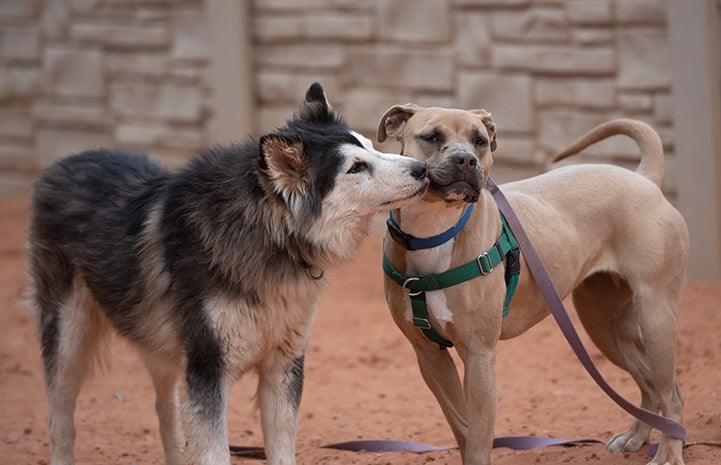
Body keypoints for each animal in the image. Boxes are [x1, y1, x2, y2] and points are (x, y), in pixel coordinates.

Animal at [29, 83, 428, 464]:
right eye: (356, 167)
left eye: (371, 147)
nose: (421, 169)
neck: (269, 235)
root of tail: (64, 164)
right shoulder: (208, 369)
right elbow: (214, 451)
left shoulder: (282, 366)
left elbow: (281, 450)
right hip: (69, 337)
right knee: (59, 420)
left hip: (158, 347)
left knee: (166, 415)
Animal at [376, 105, 688, 464]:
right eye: (431, 137)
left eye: (480, 141)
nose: (465, 160)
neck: (434, 231)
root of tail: (643, 179)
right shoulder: (429, 356)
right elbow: (463, 429)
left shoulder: (480, 355)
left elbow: (479, 440)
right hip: (604, 325)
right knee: (652, 384)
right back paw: (637, 437)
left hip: (655, 316)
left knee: (670, 394)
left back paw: (669, 453)